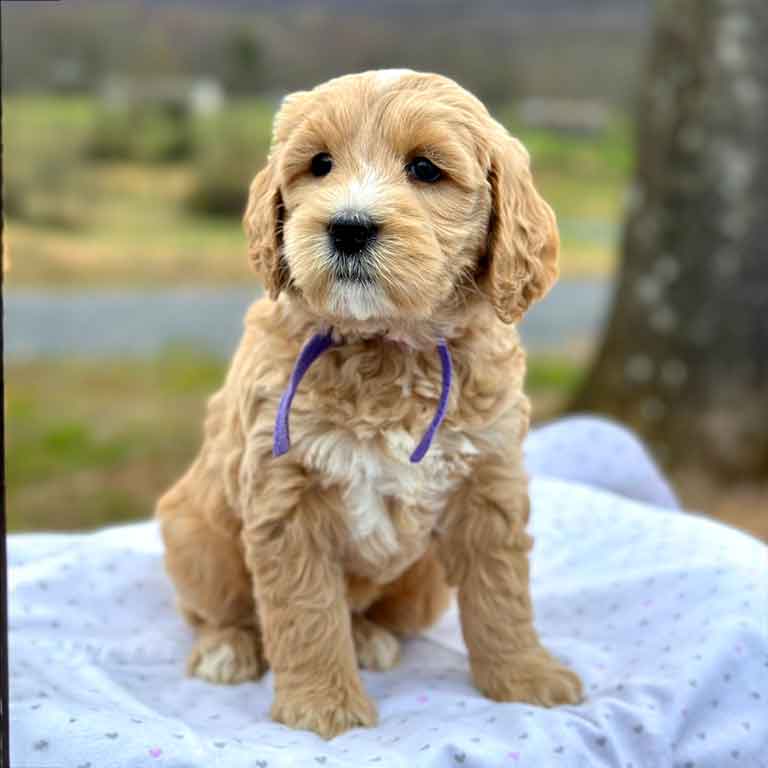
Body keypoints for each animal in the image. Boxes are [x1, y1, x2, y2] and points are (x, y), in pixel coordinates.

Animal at [156, 70, 584, 736]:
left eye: (426, 169)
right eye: (320, 164)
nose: (349, 227)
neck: (386, 344)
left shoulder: (488, 483)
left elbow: (501, 592)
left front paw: (525, 678)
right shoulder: (286, 494)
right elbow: (305, 608)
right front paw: (322, 706)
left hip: (422, 582)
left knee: (368, 608)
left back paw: (365, 636)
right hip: (195, 535)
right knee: (215, 608)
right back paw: (227, 647)